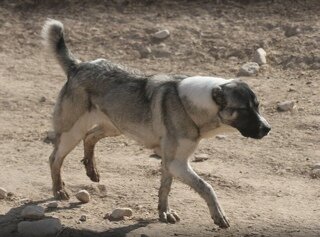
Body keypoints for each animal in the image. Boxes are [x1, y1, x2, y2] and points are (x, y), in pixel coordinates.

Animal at [40, 19, 270, 228]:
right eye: (244, 109)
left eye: (257, 106)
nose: (268, 129)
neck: (193, 105)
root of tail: (78, 66)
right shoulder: (177, 162)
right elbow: (206, 187)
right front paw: (218, 215)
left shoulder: (170, 162)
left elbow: (165, 188)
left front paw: (164, 212)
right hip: (72, 131)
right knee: (55, 157)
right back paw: (59, 190)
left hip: (114, 126)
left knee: (90, 137)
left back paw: (91, 171)